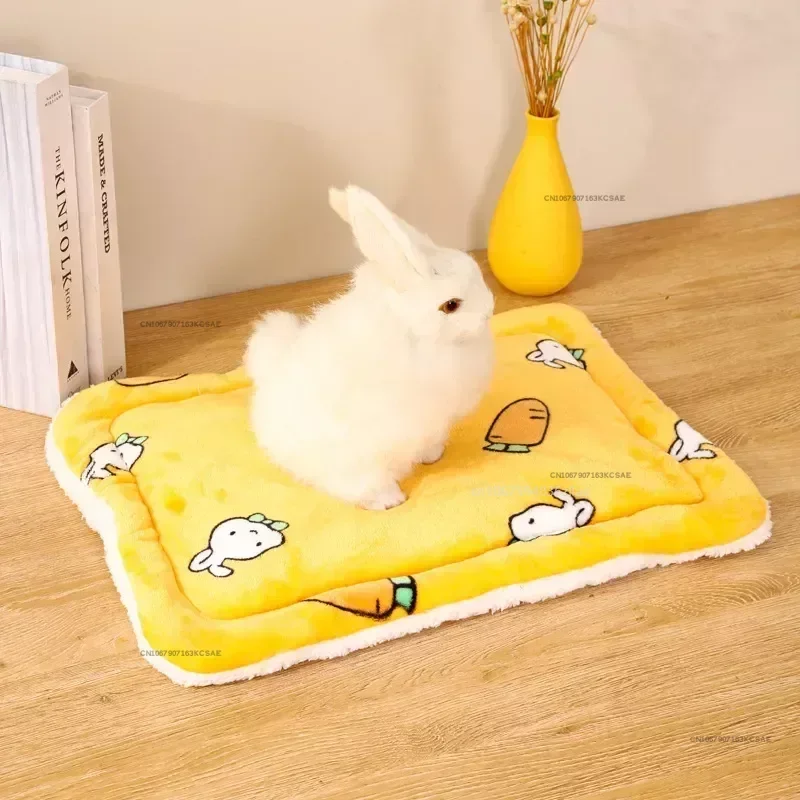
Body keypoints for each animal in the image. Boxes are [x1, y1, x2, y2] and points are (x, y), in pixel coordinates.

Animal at [244, 185, 495, 510]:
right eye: (451, 305)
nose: (489, 310)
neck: (417, 335)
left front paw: (432, 455)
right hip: (353, 458)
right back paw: (389, 501)